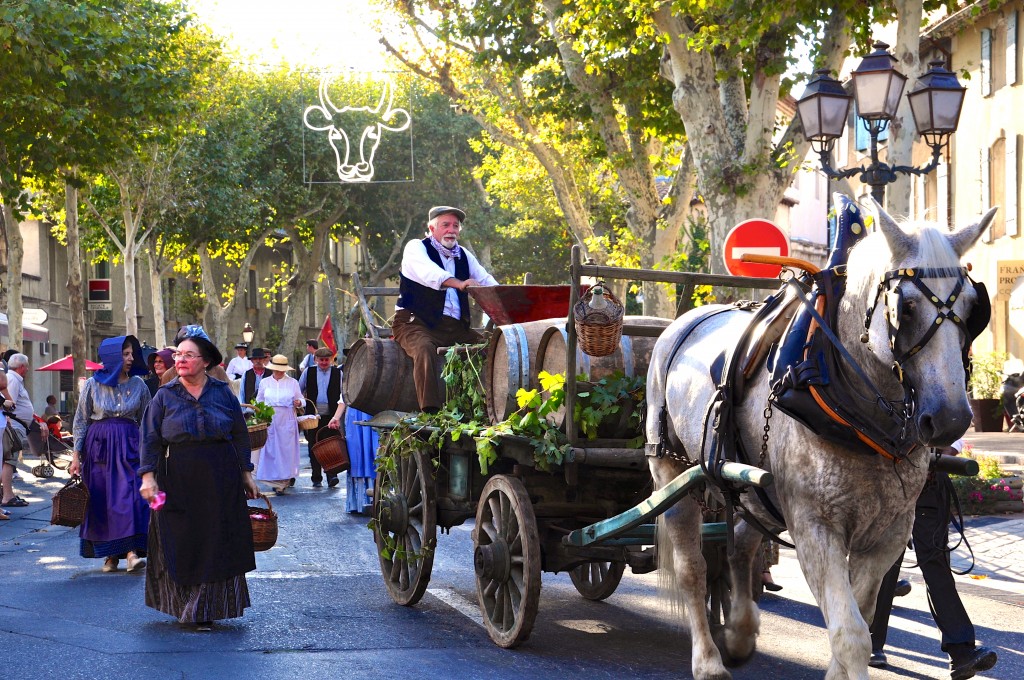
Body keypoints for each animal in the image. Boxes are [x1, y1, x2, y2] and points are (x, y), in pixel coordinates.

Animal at [651, 199, 995, 675]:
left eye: (972, 305)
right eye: (905, 308)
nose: (949, 419)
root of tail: (680, 323)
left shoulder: (889, 532)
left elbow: (859, 619)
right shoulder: (815, 526)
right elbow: (850, 634)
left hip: (754, 491)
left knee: (740, 548)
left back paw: (739, 633)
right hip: (673, 473)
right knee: (692, 568)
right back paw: (708, 660)